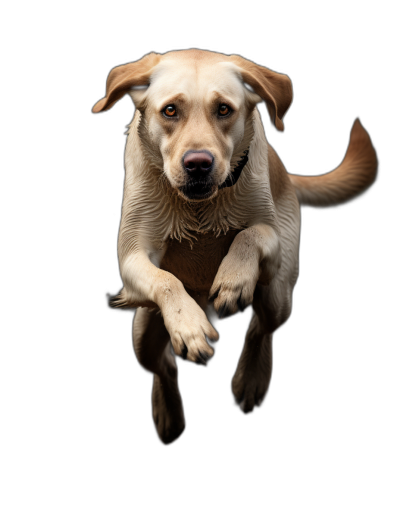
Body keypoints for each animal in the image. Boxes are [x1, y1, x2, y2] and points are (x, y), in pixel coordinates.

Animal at [92, 48, 376, 444]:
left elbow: (248, 236)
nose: (198, 164)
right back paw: (169, 415)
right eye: (170, 111)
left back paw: (251, 381)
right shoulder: (132, 256)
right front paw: (189, 328)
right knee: (163, 366)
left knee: (262, 327)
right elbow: (166, 280)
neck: (198, 208)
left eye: (224, 109)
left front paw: (232, 282)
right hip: (142, 332)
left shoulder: (271, 236)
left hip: (277, 295)